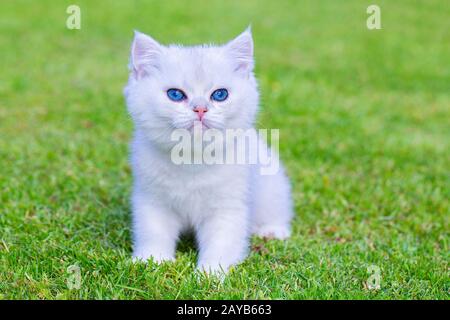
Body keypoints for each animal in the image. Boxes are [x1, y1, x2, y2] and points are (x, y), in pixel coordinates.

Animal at [124, 27, 292, 274]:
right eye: (175, 94)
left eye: (220, 94)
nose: (200, 108)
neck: (192, 159)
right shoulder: (152, 199)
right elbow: (153, 232)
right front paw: (151, 261)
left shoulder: (228, 208)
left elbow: (221, 243)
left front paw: (209, 273)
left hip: (271, 186)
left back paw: (272, 231)